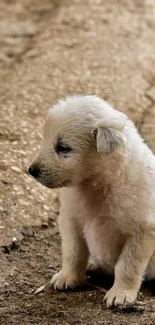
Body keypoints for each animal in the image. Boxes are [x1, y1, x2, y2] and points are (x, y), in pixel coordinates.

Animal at [28, 94, 155, 306]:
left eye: (63, 148)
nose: (32, 170)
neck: (98, 184)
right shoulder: (71, 218)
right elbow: (73, 252)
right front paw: (68, 278)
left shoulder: (142, 229)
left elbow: (128, 264)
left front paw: (121, 293)